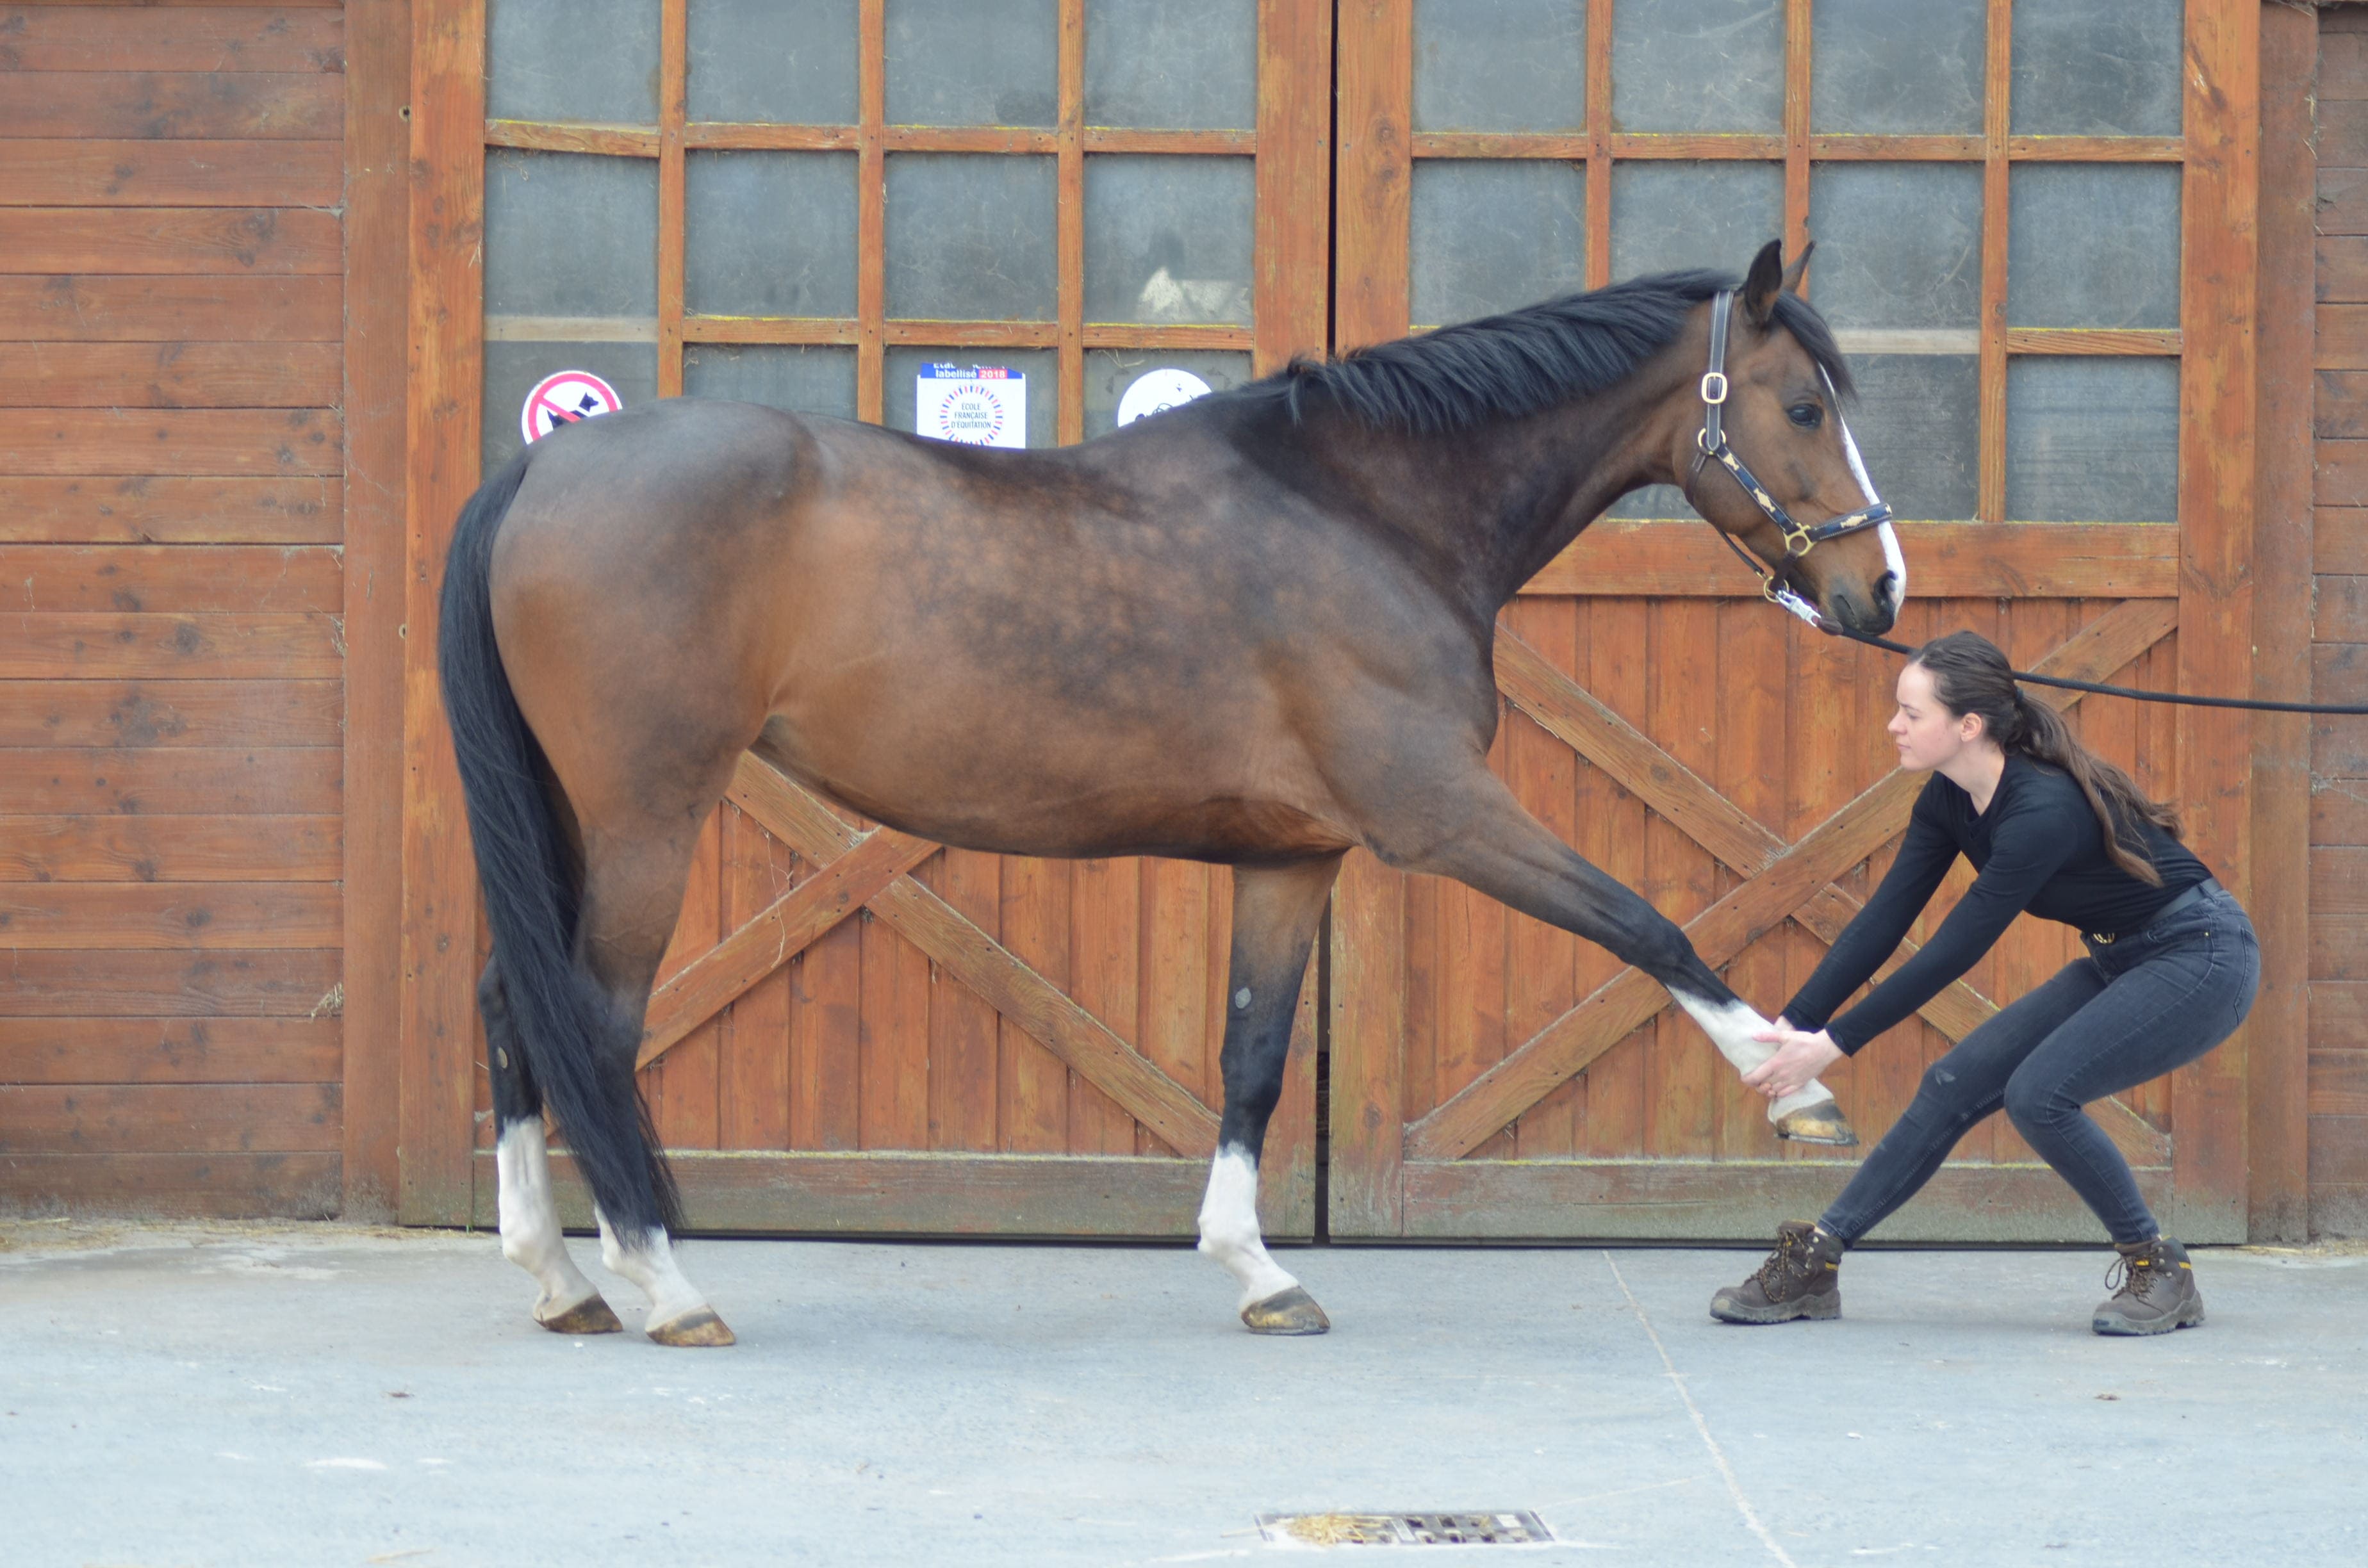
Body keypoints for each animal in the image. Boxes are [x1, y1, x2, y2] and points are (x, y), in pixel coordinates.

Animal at [445, 239, 1903, 1345]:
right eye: (1803, 406)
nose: (1879, 591)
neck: (1360, 512)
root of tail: (548, 462)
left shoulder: (1294, 857)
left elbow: (1253, 1057)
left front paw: (1258, 1270)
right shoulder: (1439, 815)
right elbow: (1645, 922)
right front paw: (1795, 1086)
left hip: (577, 814)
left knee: (515, 1000)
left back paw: (561, 1279)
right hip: (648, 813)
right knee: (593, 1019)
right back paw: (664, 1283)